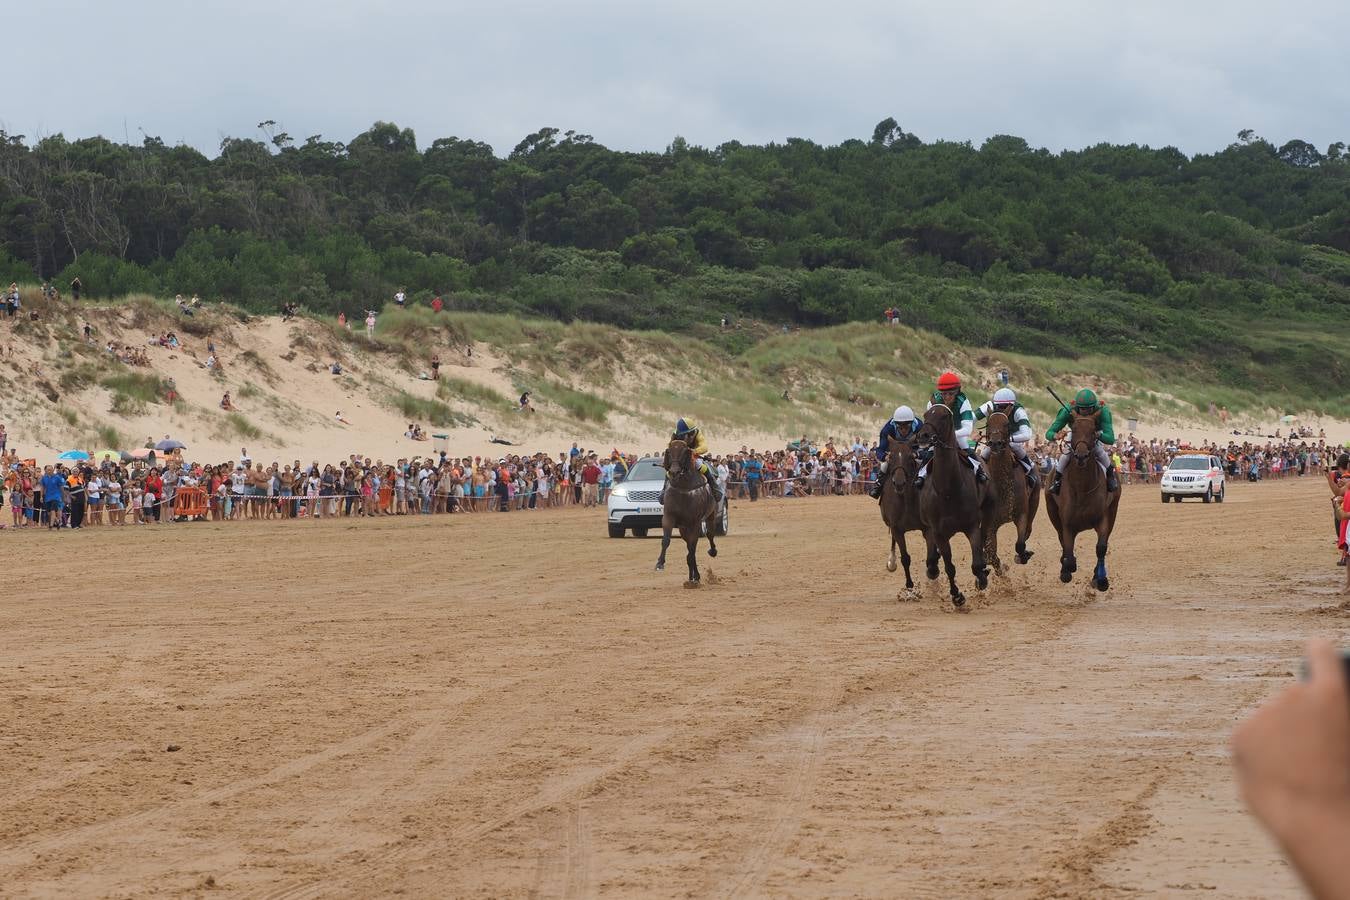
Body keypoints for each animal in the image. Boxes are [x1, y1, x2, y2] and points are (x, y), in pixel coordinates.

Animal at [653, 442, 718, 585]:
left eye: (684, 452)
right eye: (669, 451)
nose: (674, 472)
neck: (683, 489)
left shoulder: (695, 522)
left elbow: (692, 550)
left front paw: (695, 576)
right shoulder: (669, 517)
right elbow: (666, 540)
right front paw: (660, 563)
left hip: (710, 516)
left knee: (710, 535)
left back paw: (712, 552)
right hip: (683, 528)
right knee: (690, 546)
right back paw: (692, 576)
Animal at [880, 437, 923, 591]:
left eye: (910, 456)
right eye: (891, 457)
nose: (899, 483)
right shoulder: (897, 528)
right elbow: (905, 557)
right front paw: (909, 585)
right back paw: (891, 562)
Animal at [912, 407, 999, 604]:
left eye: (944, 416)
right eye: (926, 415)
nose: (923, 435)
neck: (948, 491)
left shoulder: (972, 526)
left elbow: (976, 564)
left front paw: (981, 579)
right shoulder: (939, 532)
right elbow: (949, 567)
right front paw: (957, 596)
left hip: (988, 510)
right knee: (933, 557)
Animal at [982, 407, 1042, 569]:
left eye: (1007, 424)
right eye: (988, 423)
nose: (995, 443)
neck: (1002, 485)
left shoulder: (1021, 515)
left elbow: (1020, 544)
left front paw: (1022, 556)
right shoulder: (991, 524)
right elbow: (991, 553)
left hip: (1034, 502)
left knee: (1028, 530)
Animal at [1042, 412, 1117, 593]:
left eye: (1092, 431)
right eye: (1074, 430)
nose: (1081, 456)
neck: (1082, 487)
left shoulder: (1103, 518)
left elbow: (1101, 548)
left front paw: (1101, 580)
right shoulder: (1067, 523)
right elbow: (1068, 552)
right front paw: (1067, 570)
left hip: (1113, 511)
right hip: (1052, 512)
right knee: (1061, 540)